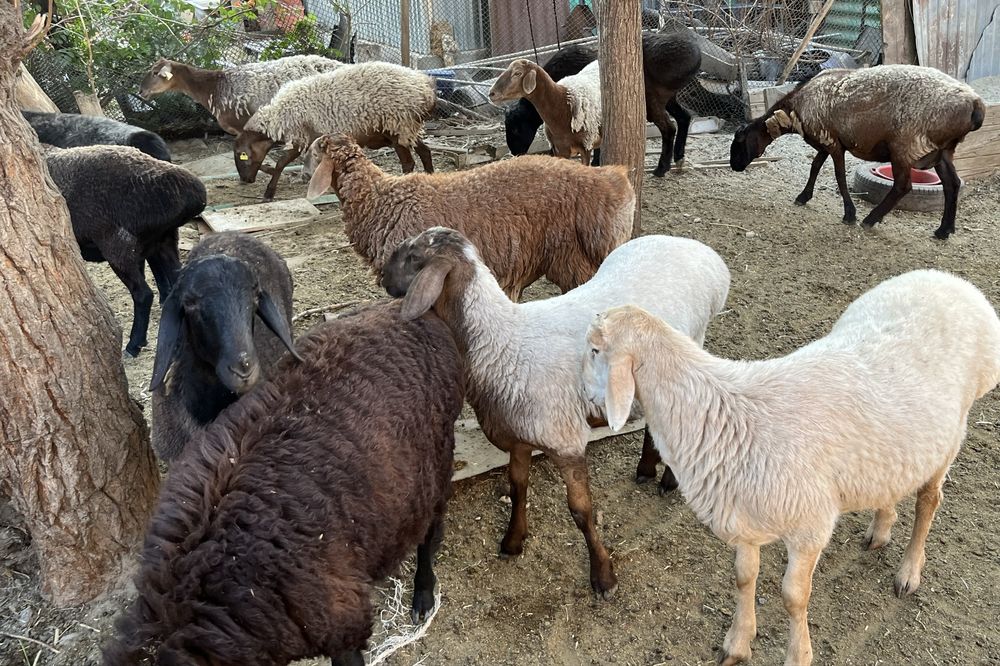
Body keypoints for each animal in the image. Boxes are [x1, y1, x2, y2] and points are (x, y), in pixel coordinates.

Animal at [235, 62, 437, 200]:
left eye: (241, 155)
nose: (245, 180)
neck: (278, 117)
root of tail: (425, 87)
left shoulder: (300, 138)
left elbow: (280, 163)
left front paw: (269, 193)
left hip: (398, 127)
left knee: (408, 163)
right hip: (407, 130)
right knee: (425, 152)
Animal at [380, 227, 730, 598]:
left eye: (414, 257)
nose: (384, 277)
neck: (502, 343)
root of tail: (702, 253)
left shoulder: (565, 441)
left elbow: (581, 511)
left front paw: (603, 576)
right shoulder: (518, 436)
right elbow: (518, 486)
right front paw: (513, 540)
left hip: (691, 342)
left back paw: (667, 478)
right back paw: (647, 468)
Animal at [493, 32, 702, 176]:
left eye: (516, 129)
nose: (516, 153)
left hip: (653, 100)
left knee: (669, 128)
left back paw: (661, 168)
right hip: (668, 97)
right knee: (684, 117)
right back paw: (679, 158)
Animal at [584, 269, 1000, 665]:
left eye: (593, 349)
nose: (586, 399)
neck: (723, 412)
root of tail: (951, 281)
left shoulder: (810, 527)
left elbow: (793, 597)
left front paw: (798, 655)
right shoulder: (743, 516)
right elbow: (743, 578)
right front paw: (738, 643)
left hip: (950, 436)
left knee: (929, 501)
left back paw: (909, 572)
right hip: (896, 448)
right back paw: (881, 528)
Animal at [730, 65, 986, 239]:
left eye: (739, 141)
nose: (734, 166)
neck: (796, 110)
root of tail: (975, 104)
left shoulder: (832, 142)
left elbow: (839, 177)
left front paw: (849, 215)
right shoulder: (827, 141)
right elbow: (814, 167)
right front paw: (803, 197)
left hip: (905, 145)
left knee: (903, 186)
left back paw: (870, 219)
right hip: (942, 151)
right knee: (952, 184)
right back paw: (944, 230)